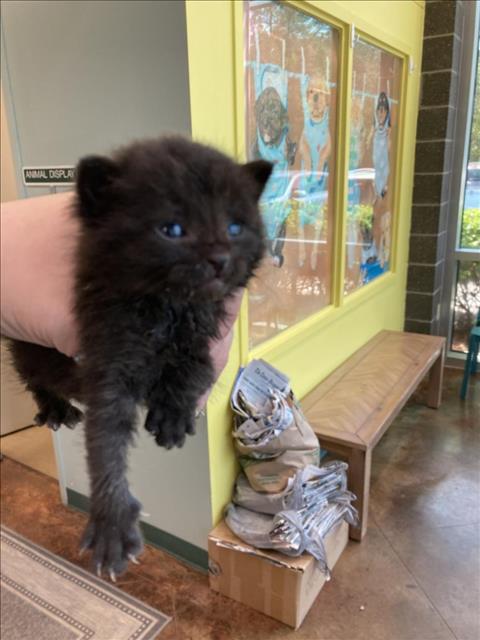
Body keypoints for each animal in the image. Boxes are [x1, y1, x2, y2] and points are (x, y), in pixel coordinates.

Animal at [7, 139, 272, 580]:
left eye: (235, 228)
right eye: (173, 229)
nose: (220, 258)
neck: (167, 307)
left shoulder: (206, 336)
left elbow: (193, 367)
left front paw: (172, 416)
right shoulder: (107, 352)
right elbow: (105, 440)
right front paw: (112, 523)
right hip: (26, 344)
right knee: (35, 377)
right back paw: (57, 409)